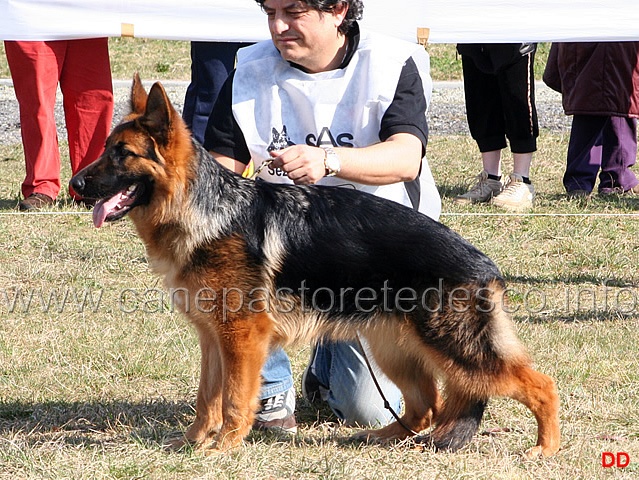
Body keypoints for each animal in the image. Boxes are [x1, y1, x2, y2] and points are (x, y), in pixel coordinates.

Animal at [69, 76, 560, 458]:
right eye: (107, 149)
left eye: (122, 153)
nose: (75, 184)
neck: (205, 208)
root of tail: (484, 265)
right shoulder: (213, 338)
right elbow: (206, 398)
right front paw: (192, 443)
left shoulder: (242, 337)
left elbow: (234, 400)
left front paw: (223, 447)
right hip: (395, 349)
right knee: (427, 406)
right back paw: (381, 436)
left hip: (457, 348)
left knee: (538, 383)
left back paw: (545, 446)